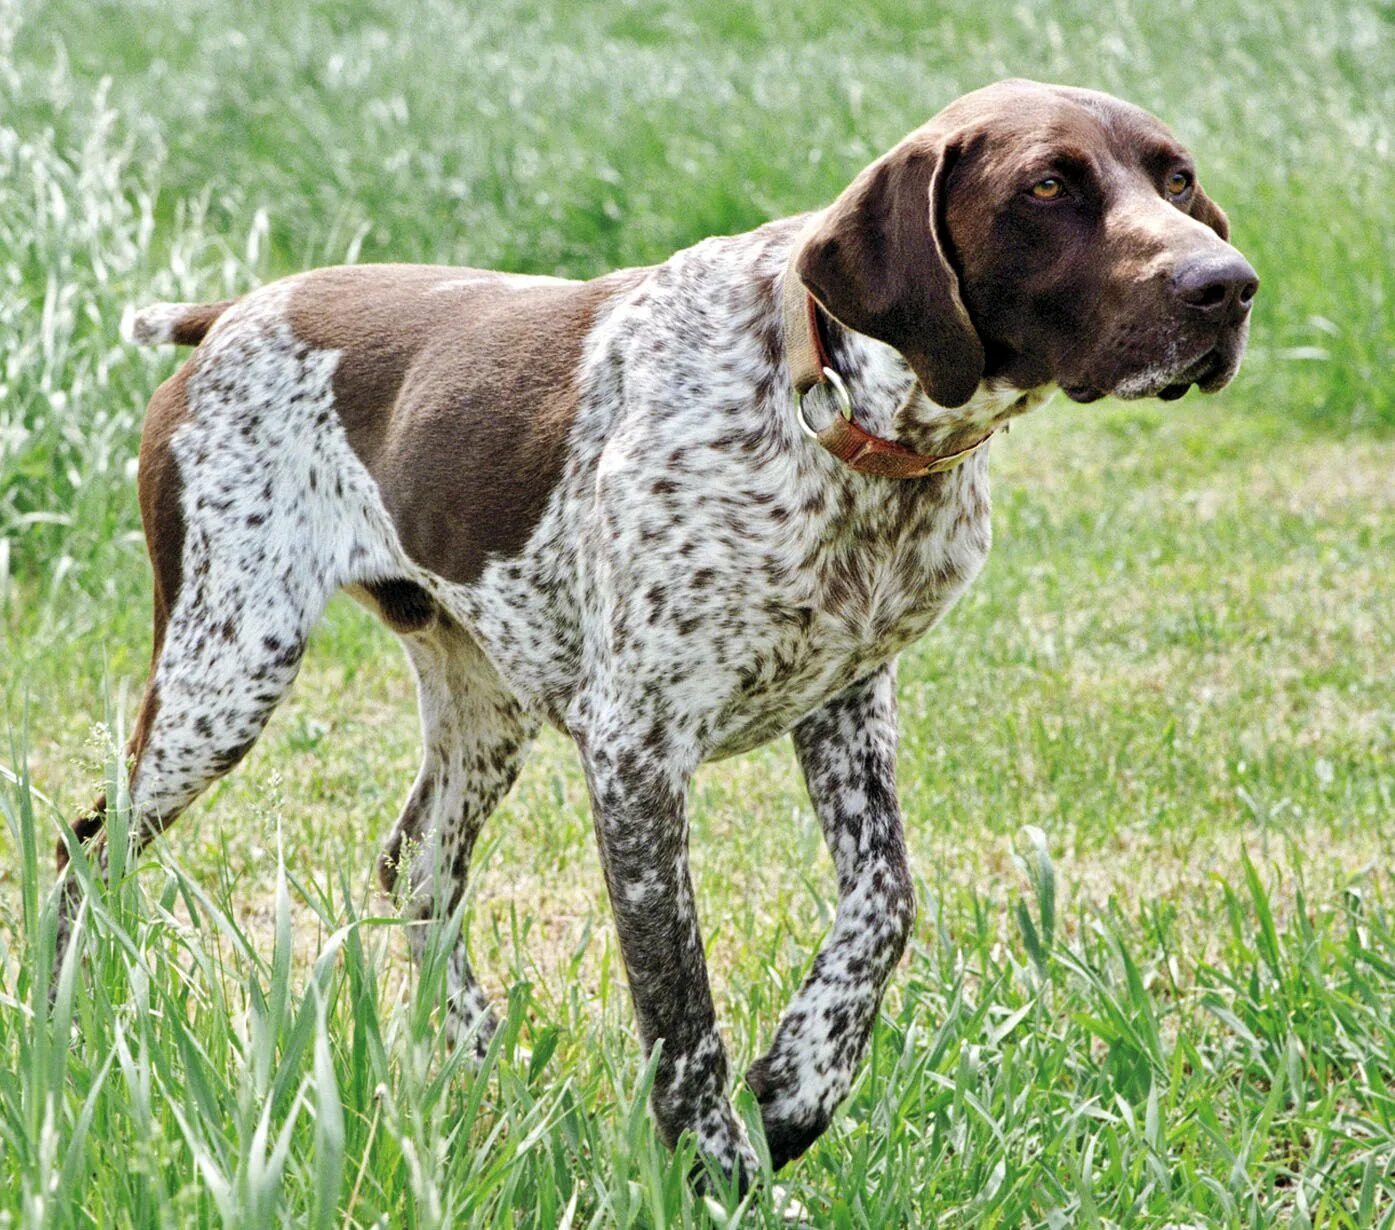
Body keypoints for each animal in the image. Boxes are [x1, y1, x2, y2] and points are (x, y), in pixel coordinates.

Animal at [57, 81, 1255, 1182]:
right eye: (1048, 187)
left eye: (1176, 179)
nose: (1227, 287)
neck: (834, 414)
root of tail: (235, 311)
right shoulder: (635, 751)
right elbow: (679, 1005)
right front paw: (715, 1168)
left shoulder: (845, 703)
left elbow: (884, 905)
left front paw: (800, 1087)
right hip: (227, 666)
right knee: (89, 848)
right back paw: (72, 1032)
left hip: (481, 703)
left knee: (417, 866)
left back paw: (475, 1059)